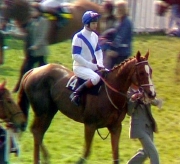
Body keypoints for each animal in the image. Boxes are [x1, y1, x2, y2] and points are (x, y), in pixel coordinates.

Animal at [17, 50, 156, 163]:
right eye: (141, 72)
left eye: (151, 71)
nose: (152, 94)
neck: (109, 92)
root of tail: (33, 70)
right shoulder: (90, 125)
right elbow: (86, 153)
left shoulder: (116, 127)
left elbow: (116, 155)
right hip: (43, 112)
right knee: (37, 131)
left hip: (50, 111)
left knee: (38, 132)